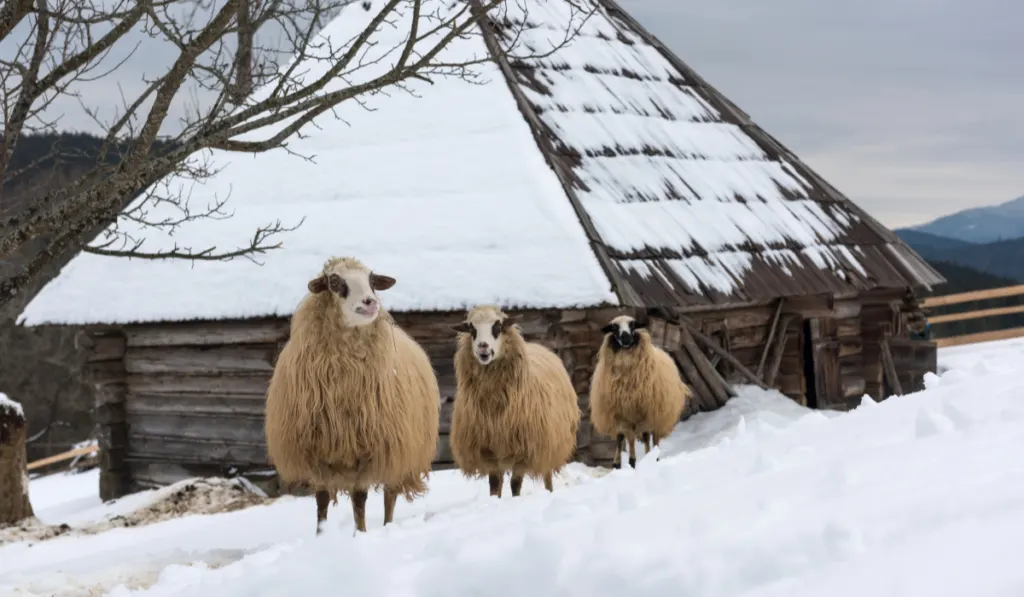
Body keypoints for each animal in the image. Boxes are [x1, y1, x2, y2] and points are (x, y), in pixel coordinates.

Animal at [262, 254, 438, 536]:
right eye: (334, 281)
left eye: (372, 281)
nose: (370, 302)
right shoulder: (316, 449)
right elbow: (322, 499)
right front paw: (320, 536)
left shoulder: (371, 448)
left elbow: (359, 498)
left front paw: (361, 534)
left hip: (401, 450)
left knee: (390, 495)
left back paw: (388, 527)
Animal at [450, 305, 585, 497]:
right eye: (472, 330)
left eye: (498, 327)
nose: (483, 347)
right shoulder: (488, 449)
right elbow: (494, 483)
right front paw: (494, 500)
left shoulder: (526, 449)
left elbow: (515, 484)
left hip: (550, 444)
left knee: (547, 474)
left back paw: (549, 492)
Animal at [589, 315, 692, 468]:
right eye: (614, 328)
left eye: (633, 325)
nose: (626, 338)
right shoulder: (620, 415)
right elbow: (626, 439)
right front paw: (627, 463)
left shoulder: (645, 413)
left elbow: (641, 437)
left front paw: (636, 461)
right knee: (628, 438)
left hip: (657, 416)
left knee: (653, 438)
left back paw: (654, 457)